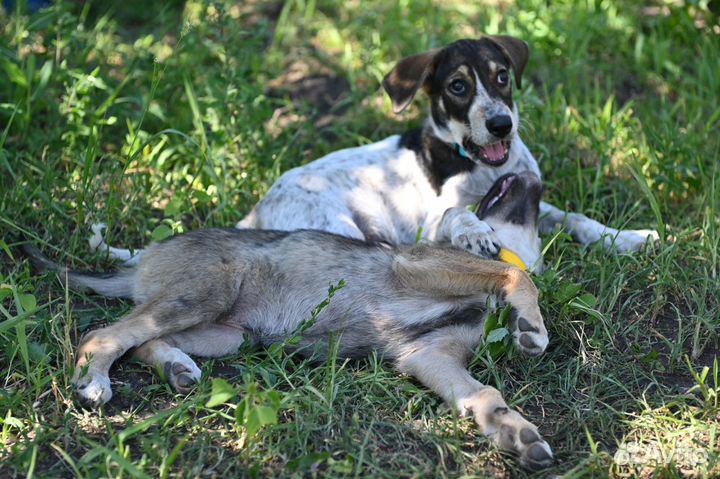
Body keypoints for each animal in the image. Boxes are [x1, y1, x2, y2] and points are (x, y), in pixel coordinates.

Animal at [22, 172, 552, 468]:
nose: (530, 175)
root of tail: (142, 259)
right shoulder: (416, 265)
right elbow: (517, 274)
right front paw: (532, 326)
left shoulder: (428, 354)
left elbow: (485, 395)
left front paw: (516, 434)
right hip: (204, 295)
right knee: (104, 334)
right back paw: (94, 381)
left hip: (225, 334)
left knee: (144, 341)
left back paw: (177, 369)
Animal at [91, 36, 660, 270]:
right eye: (457, 87)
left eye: (502, 77)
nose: (502, 123)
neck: (477, 162)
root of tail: (257, 209)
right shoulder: (433, 219)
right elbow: (456, 214)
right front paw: (473, 232)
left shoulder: (534, 195)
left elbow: (581, 218)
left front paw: (627, 238)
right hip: (339, 226)